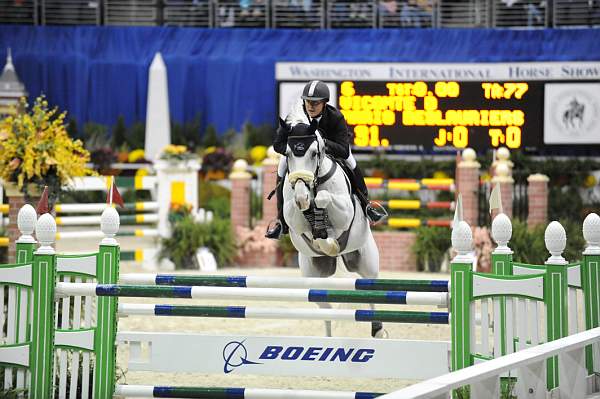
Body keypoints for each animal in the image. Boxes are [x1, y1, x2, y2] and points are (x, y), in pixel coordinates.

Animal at [280, 120, 386, 340]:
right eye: (287, 153)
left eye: (314, 153)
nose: (302, 196)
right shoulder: (292, 216)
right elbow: (299, 214)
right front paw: (323, 238)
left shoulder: (345, 211)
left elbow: (324, 198)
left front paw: (329, 241)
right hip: (312, 279)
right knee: (325, 308)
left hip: (368, 265)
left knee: (371, 292)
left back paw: (378, 330)